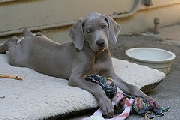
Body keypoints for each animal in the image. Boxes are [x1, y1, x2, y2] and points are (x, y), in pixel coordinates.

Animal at [0, 12, 149, 118]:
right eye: (88, 30)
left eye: (104, 26)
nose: (101, 42)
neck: (96, 55)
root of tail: (28, 36)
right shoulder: (75, 78)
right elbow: (95, 86)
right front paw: (106, 104)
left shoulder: (110, 74)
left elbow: (130, 86)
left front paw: (145, 97)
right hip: (17, 58)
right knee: (12, 42)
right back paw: (4, 45)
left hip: (40, 37)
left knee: (34, 34)